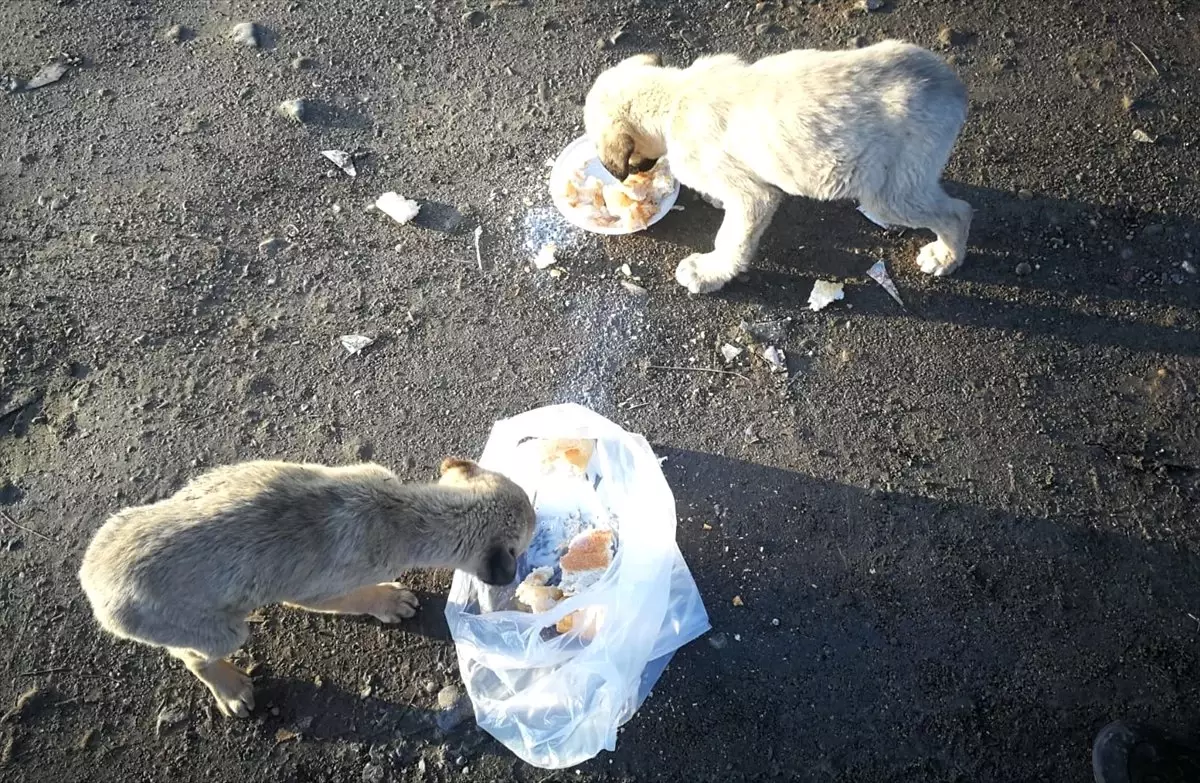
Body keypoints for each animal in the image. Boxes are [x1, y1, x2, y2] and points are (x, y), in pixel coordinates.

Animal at [78, 456, 535, 720]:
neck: (401, 511)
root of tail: (91, 581)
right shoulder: (316, 591)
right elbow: (357, 596)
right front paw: (389, 599)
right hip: (217, 630)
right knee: (193, 657)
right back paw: (230, 688)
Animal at [583, 39, 974, 291]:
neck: (676, 95)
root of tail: (951, 87)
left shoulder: (754, 199)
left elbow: (731, 239)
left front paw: (710, 273)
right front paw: (715, 200)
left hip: (888, 195)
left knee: (958, 212)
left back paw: (946, 256)